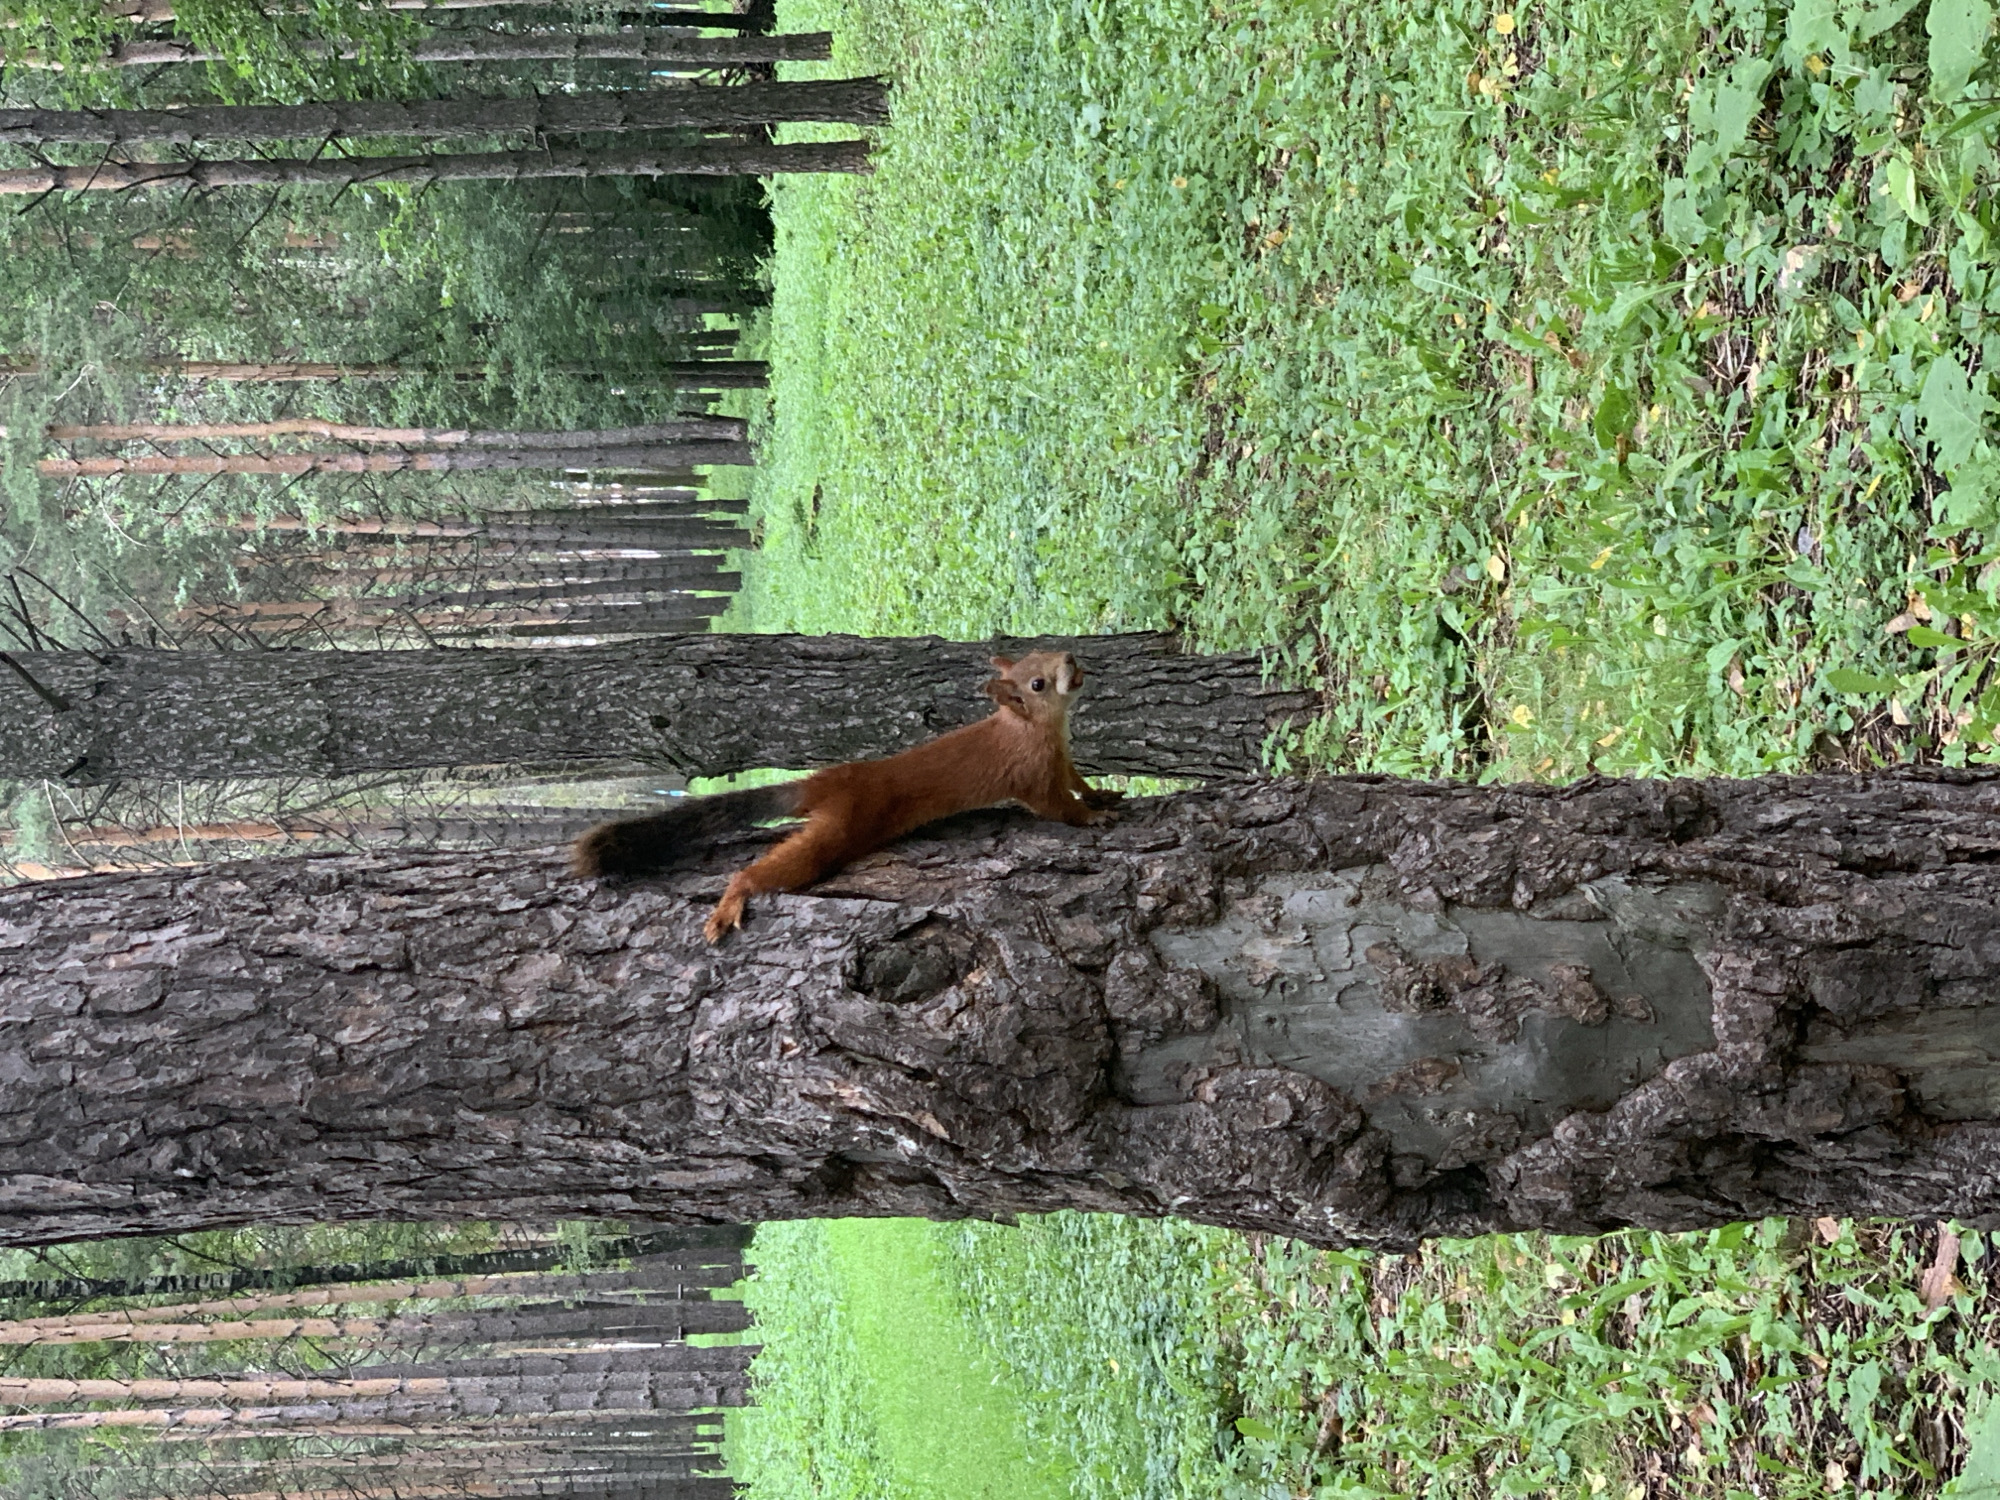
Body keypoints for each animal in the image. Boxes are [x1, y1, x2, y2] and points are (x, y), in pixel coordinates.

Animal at [570, 649, 1122, 943]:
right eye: (1038, 682)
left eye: (1043, 650)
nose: (1071, 658)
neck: (1031, 727)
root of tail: (829, 782)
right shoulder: (1030, 776)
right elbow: (1055, 806)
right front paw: (1090, 820)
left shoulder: (1061, 759)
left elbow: (1076, 782)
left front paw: (1102, 795)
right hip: (839, 830)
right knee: (776, 866)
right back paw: (735, 895)